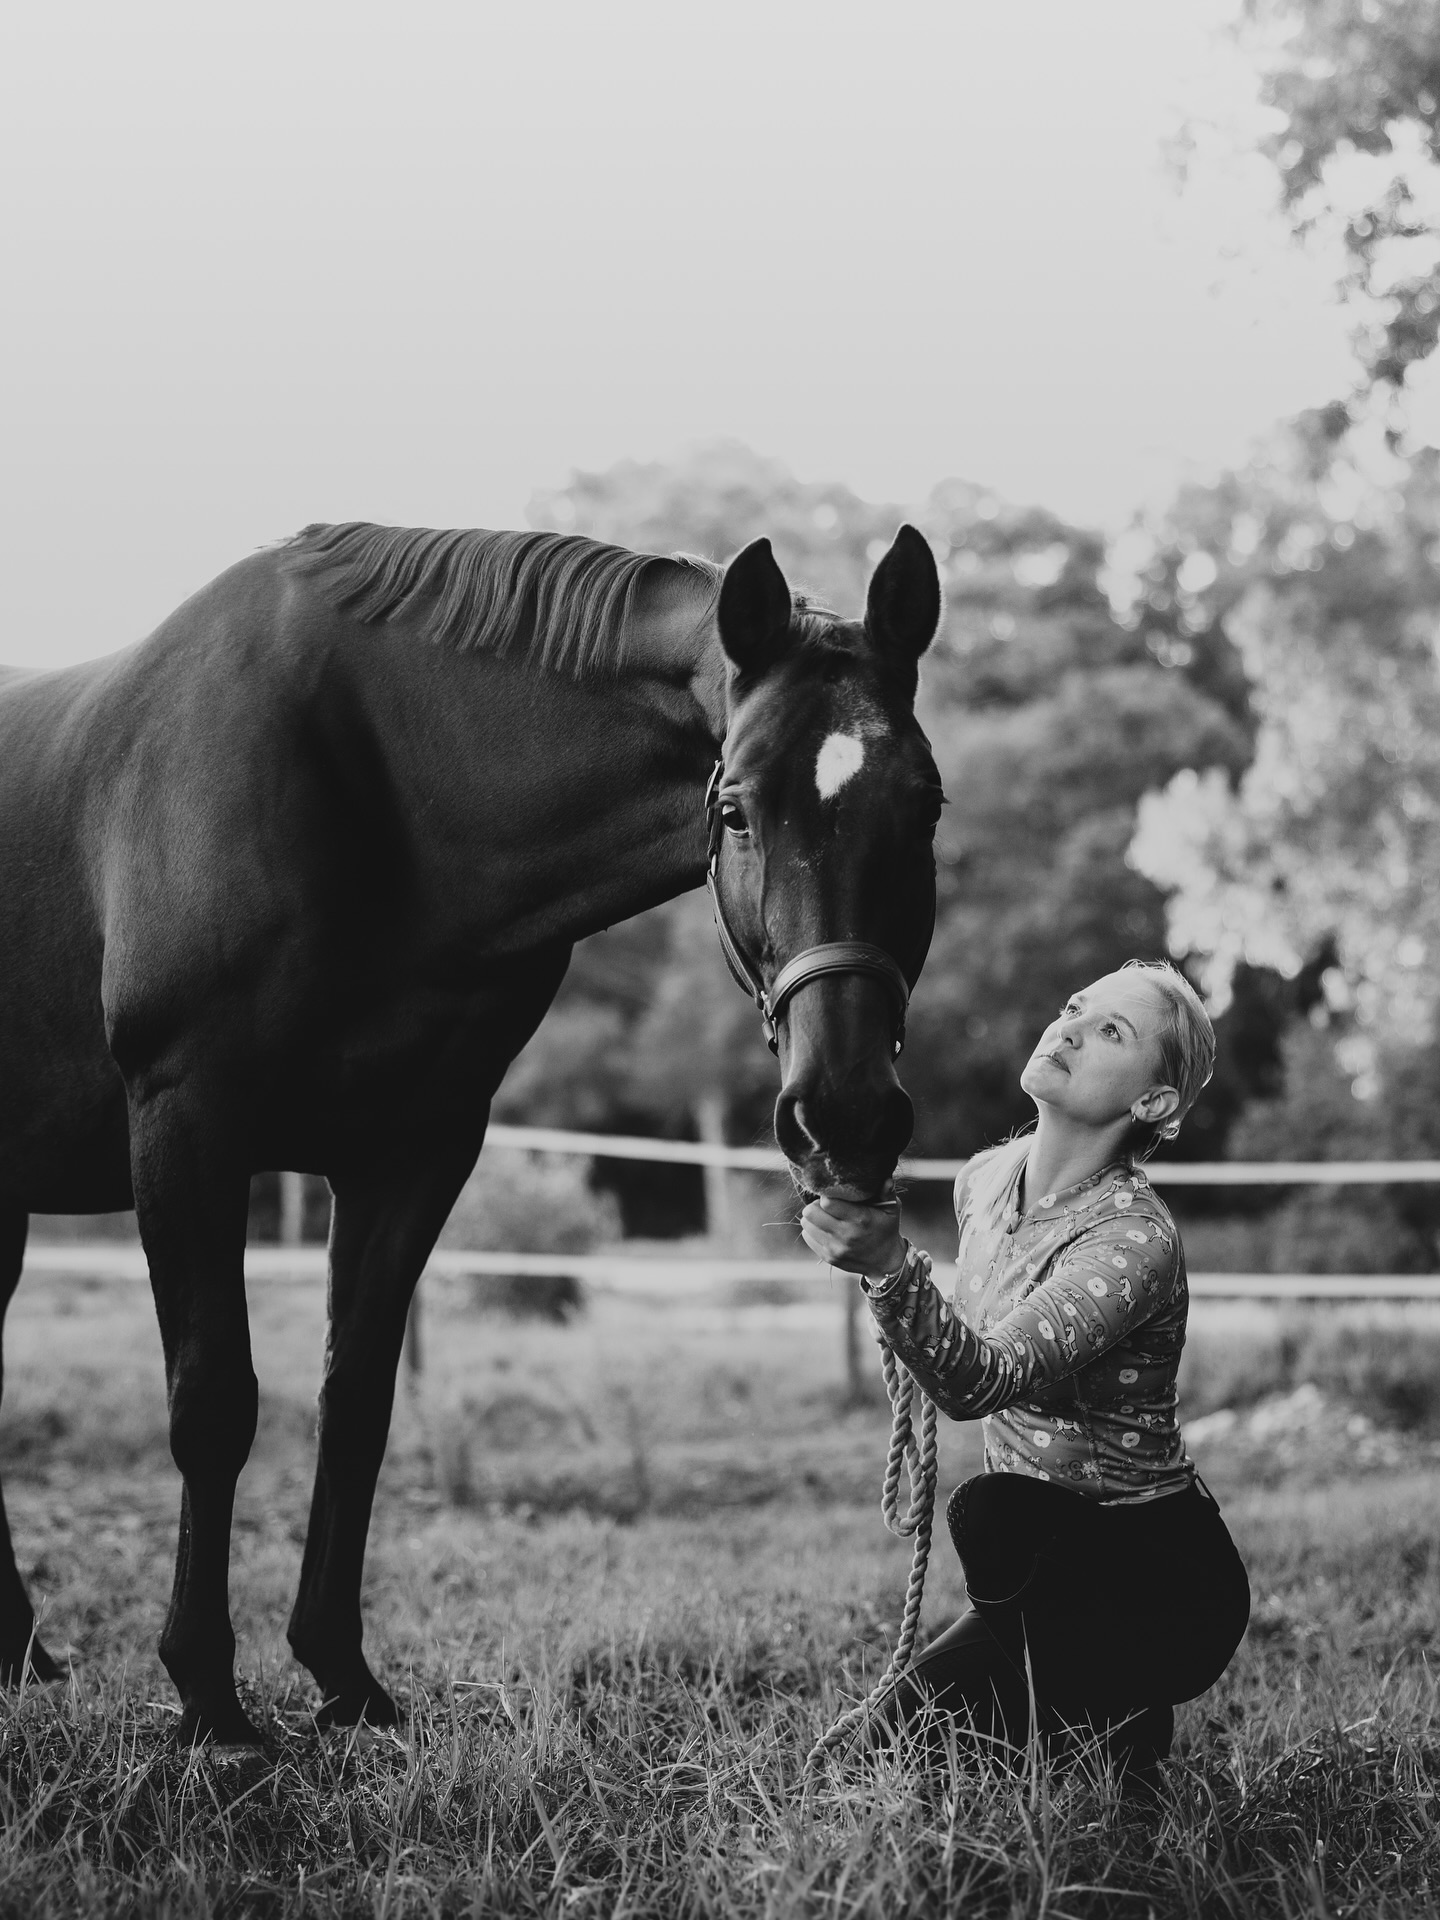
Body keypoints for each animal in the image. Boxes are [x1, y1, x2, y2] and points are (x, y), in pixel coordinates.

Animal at [0, 518, 943, 1744]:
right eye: (734, 808)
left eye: (927, 806)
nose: (845, 1108)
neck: (373, 789)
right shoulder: (186, 1127)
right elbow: (213, 1404)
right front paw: (208, 1698)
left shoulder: (413, 1154)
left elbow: (357, 1401)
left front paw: (342, 1680)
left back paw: (21, 1652)